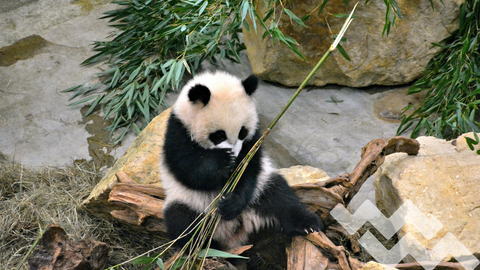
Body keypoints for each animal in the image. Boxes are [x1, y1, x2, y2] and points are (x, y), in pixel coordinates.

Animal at [160, 71, 322, 251]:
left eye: (242, 132)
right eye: (219, 135)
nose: (236, 156)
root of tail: (235, 231)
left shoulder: (254, 139)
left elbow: (250, 169)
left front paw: (232, 202)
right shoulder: (178, 133)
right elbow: (190, 170)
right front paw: (222, 160)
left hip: (260, 191)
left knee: (282, 200)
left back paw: (308, 224)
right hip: (190, 202)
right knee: (184, 224)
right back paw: (207, 249)